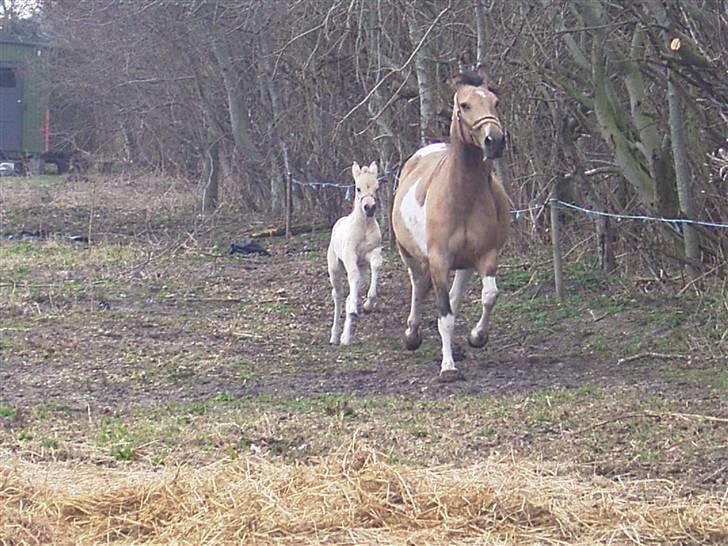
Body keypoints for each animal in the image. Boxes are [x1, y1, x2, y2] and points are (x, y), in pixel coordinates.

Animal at [328, 159, 384, 342]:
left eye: (377, 188)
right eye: (358, 188)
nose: (369, 208)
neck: (364, 227)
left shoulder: (371, 253)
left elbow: (377, 264)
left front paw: (368, 304)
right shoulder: (349, 256)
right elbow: (352, 275)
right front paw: (354, 308)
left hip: (363, 267)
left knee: (355, 286)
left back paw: (345, 337)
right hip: (334, 268)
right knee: (338, 296)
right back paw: (334, 336)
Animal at [396, 66, 510, 378]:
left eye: (496, 102)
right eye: (465, 105)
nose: (495, 141)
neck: (462, 197)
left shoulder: (485, 255)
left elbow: (489, 296)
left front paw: (477, 337)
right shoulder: (438, 260)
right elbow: (443, 313)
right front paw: (448, 368)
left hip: (464, 264)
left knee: (455, 297)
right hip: (410, 254)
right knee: (418, 287)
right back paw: (412, 335)